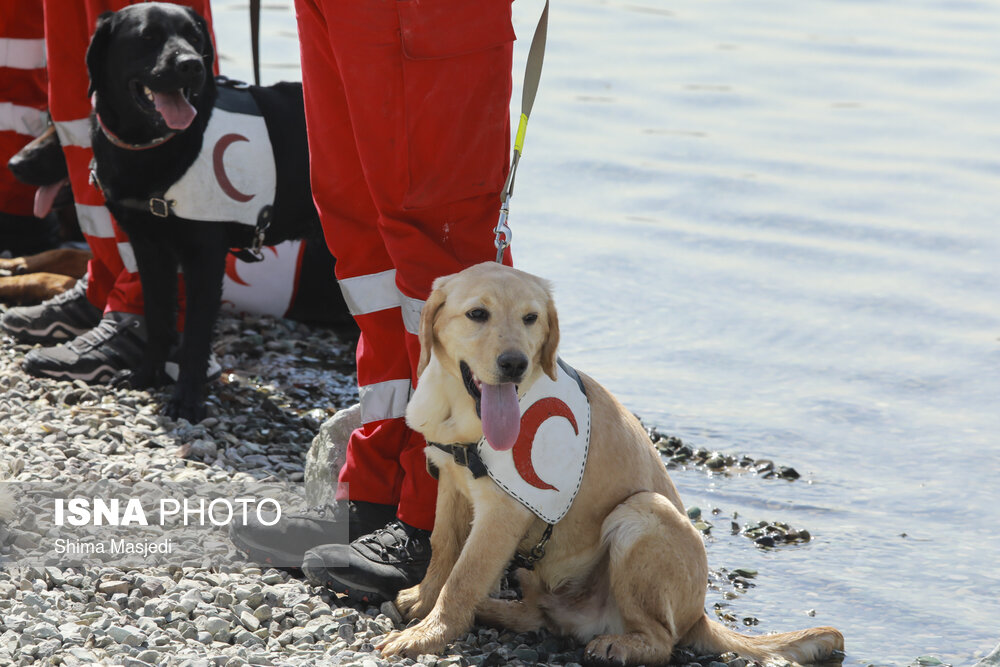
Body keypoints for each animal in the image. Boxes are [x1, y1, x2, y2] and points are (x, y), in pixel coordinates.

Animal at [84, 3, 340, 422]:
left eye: (194, 37)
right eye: (147, 37)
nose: (191, 65)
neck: (153, 147)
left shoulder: (204, 257)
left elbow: (195, 336)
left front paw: (187, 400)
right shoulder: (149, 248)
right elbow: (158, 318)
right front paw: (146, 376)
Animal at [382, 264, 844, 664]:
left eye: (531, 318)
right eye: (477, 314)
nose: (515, 363)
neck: (464, 415)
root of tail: (701, 616)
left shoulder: (502, 511)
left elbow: (463, 577)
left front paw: (429, 633)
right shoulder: (451, 483)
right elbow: (444, 549)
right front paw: (423, 600)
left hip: (642, 514)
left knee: (661, 639)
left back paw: (618, 645)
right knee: (541, 615)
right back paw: (498, 611)